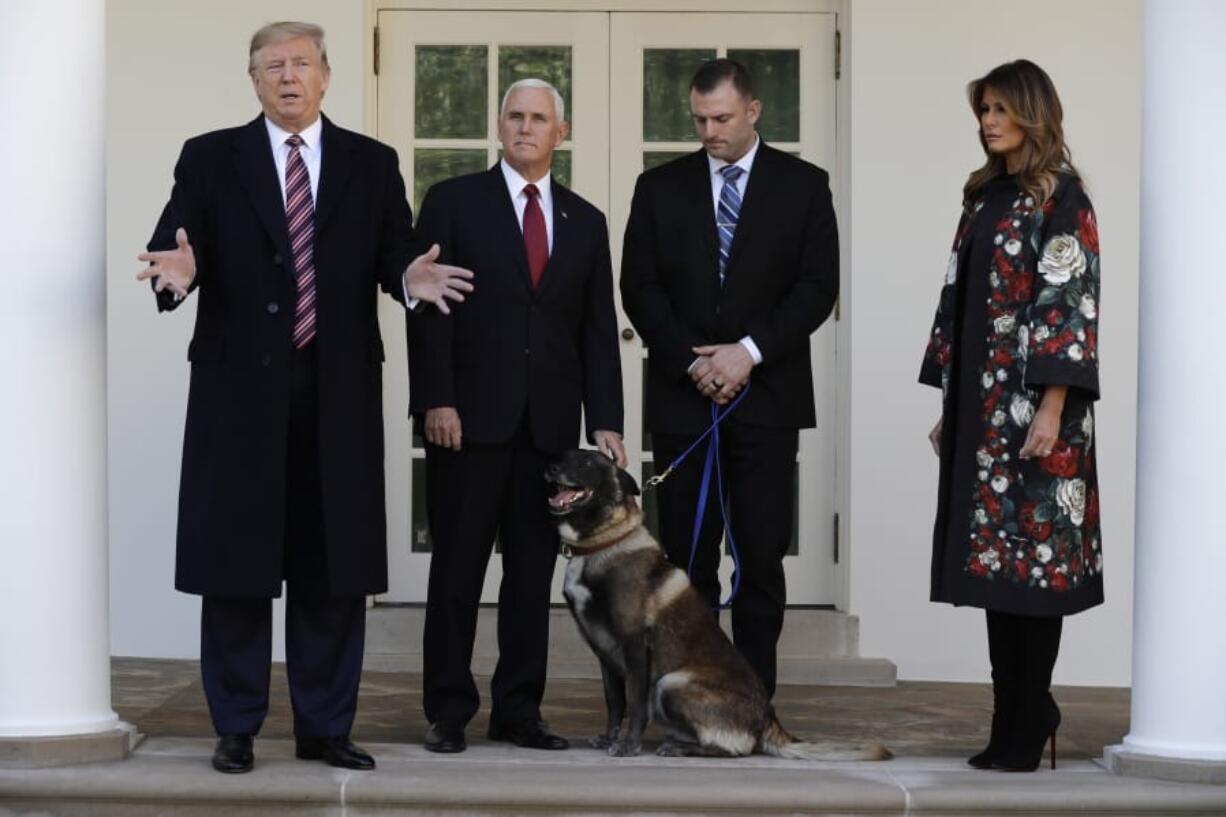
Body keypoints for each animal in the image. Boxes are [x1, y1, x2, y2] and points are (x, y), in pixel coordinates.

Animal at [546, 446, 892, 755]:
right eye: (566, 454)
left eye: (588, 461)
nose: (549, 468)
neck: (603, 541)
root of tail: (767, 717)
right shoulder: (604, 653)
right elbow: (614, 702)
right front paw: (609, 738)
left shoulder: (633, 646)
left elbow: (634, 702)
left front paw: (629, 746)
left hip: (671, 682)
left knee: (735, 748)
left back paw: (682, 749)